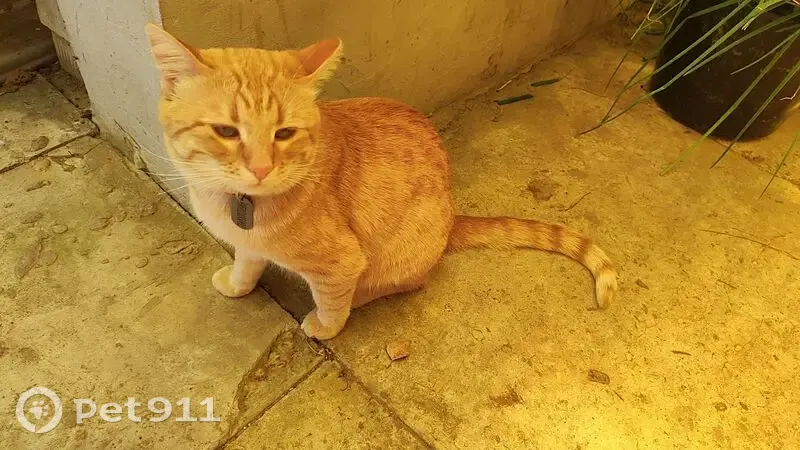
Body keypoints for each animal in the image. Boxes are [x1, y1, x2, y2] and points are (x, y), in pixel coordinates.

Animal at [144, 24, 618, 340]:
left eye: (284, 133)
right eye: (226, 131)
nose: (260, 168)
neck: (235, 204)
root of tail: (452, 217)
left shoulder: (340, 263)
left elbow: (332, 302)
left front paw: (324, 325)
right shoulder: (248, 244)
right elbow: (247, 263)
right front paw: (239, 284)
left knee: (402, 282)